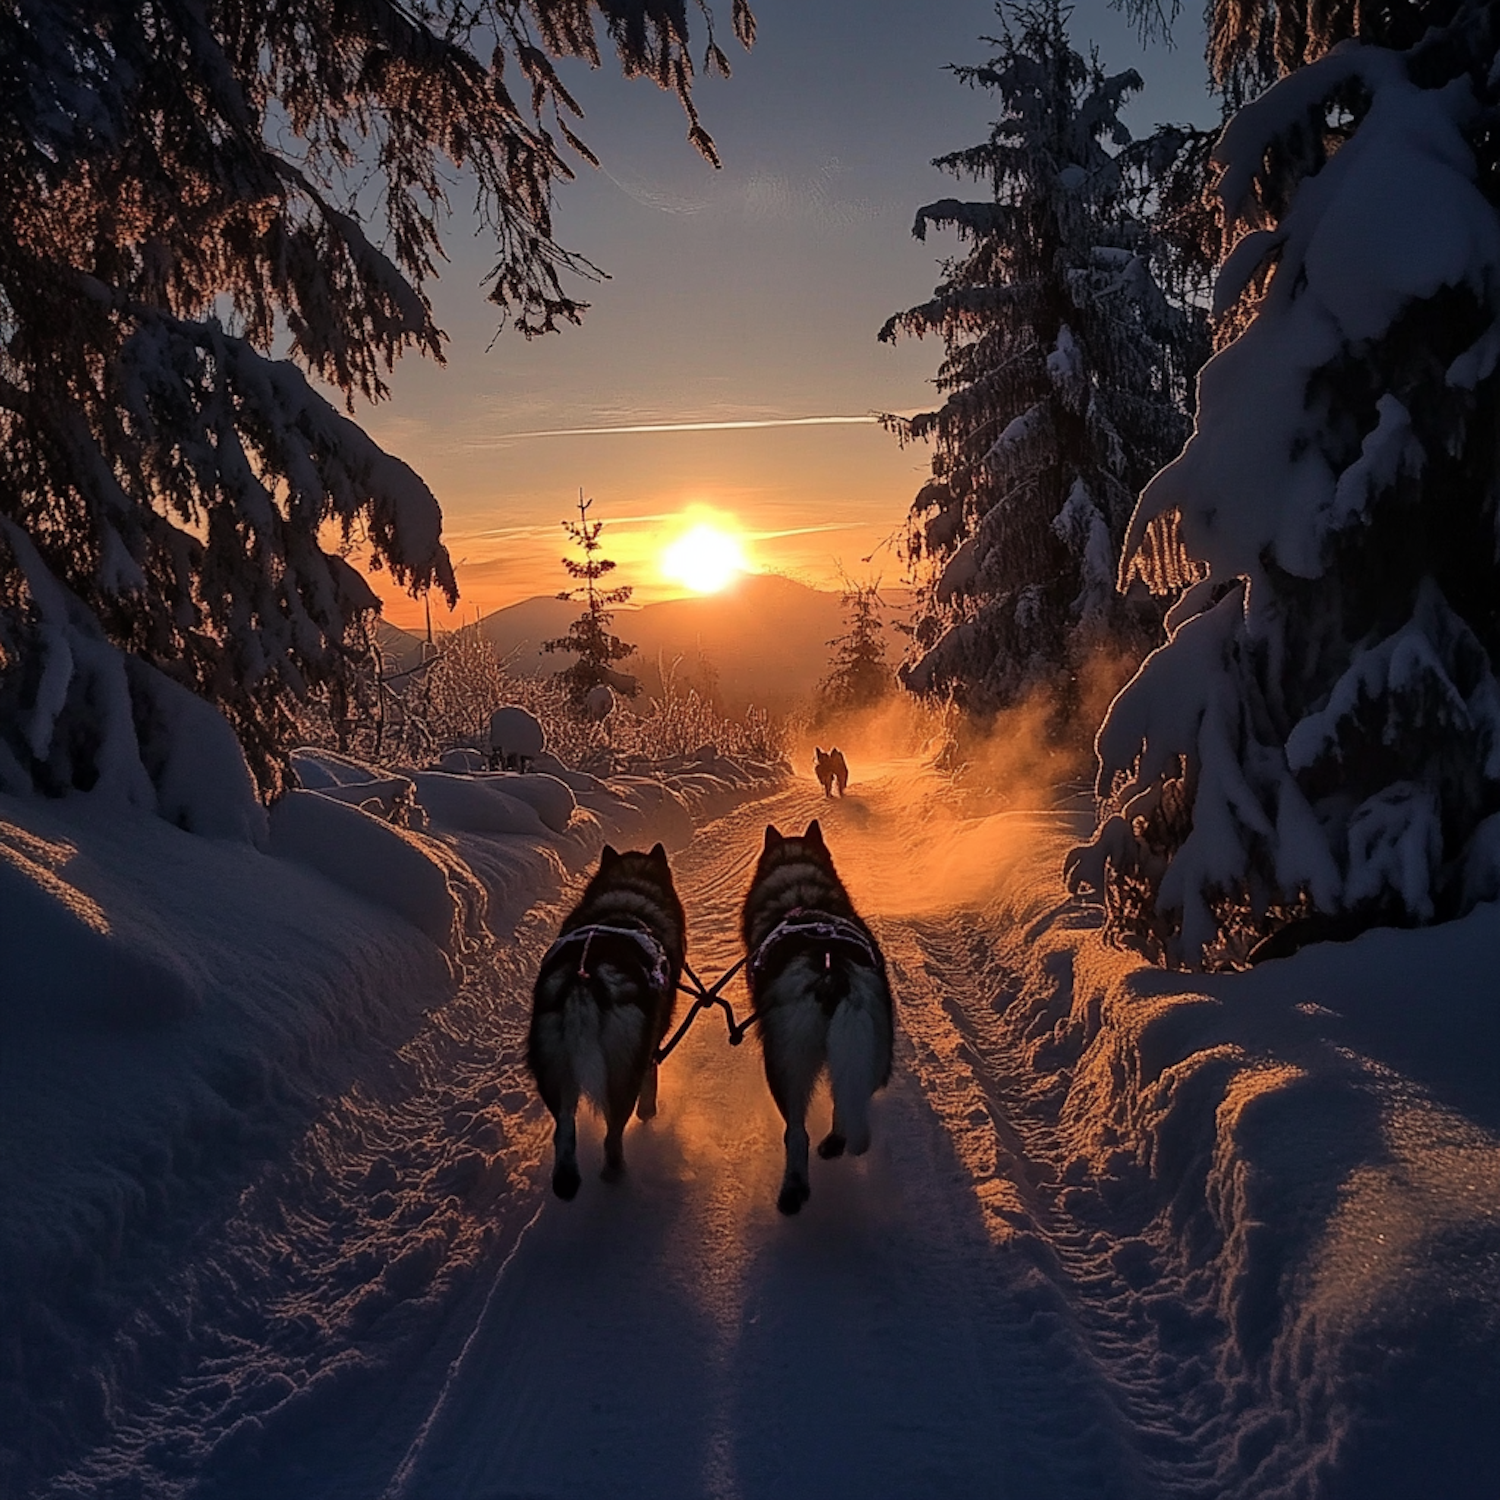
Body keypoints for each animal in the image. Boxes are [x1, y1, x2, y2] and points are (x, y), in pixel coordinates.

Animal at [528, 840, 687, 1200]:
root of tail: (584, 978)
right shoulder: (649, 1047)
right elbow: (651, 1079)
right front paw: (649, 1111)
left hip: (555, 1073)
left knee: (564, 1129)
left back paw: (567, 1180)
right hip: (621, 1073)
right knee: (613, 1133)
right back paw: (617, 1175)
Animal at [738, 816, 888, 1212]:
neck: (800, 893)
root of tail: (831, 969)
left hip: (785, 1064)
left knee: (796, 1132)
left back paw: (794, 1190)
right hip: (872, 1052)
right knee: (847, 1102)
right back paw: (836, 1142)